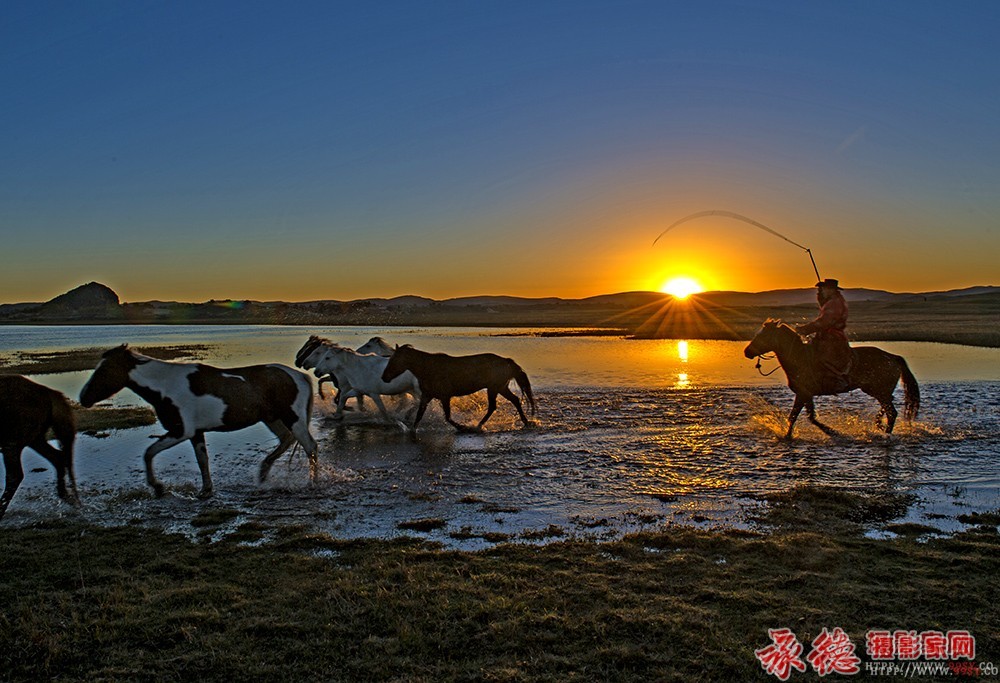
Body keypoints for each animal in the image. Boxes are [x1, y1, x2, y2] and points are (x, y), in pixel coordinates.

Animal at [0, 374, 78, 520]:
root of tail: (48, 392)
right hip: (35, 439)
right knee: (58, 457)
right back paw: (65, 496)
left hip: (13, 442)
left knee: (14, 475)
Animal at [81, 348, 316, 496]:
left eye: (104, 370)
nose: (83, 397)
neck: (165, 386)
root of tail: (300, 376)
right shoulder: (195, 433)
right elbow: (202, 460)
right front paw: (205, 490)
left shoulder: (180, 431)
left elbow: (149, 452)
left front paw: (158, 487)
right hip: (272, 418)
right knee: (286, 440)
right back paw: (263, 473)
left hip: (292, 418)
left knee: (310, 446)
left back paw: (312, 482)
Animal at [378, 344, 536, 436]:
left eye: (394, 360)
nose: (384, 377)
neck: (428, 368)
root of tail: (506, 361)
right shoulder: (427, 396)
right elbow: (419, 415)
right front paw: (411, 430)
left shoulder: (445, 397)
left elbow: (448, 417)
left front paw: (463, 428)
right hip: (501, 388)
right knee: (515, 400)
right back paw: (527, 422)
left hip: (494, 388)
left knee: (493, 406)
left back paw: (477, 427)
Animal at [748, 320, 916, 438]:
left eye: (762, 335)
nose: (746, 351)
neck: (799, 357)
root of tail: (893, 357)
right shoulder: (805, 395)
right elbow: (806, 417)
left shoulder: (802, 394)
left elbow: (798, 417)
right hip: (877, 391)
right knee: (888, 407)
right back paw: (879, 425)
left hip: (879, 391)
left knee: (892, 413)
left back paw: (885, 434)